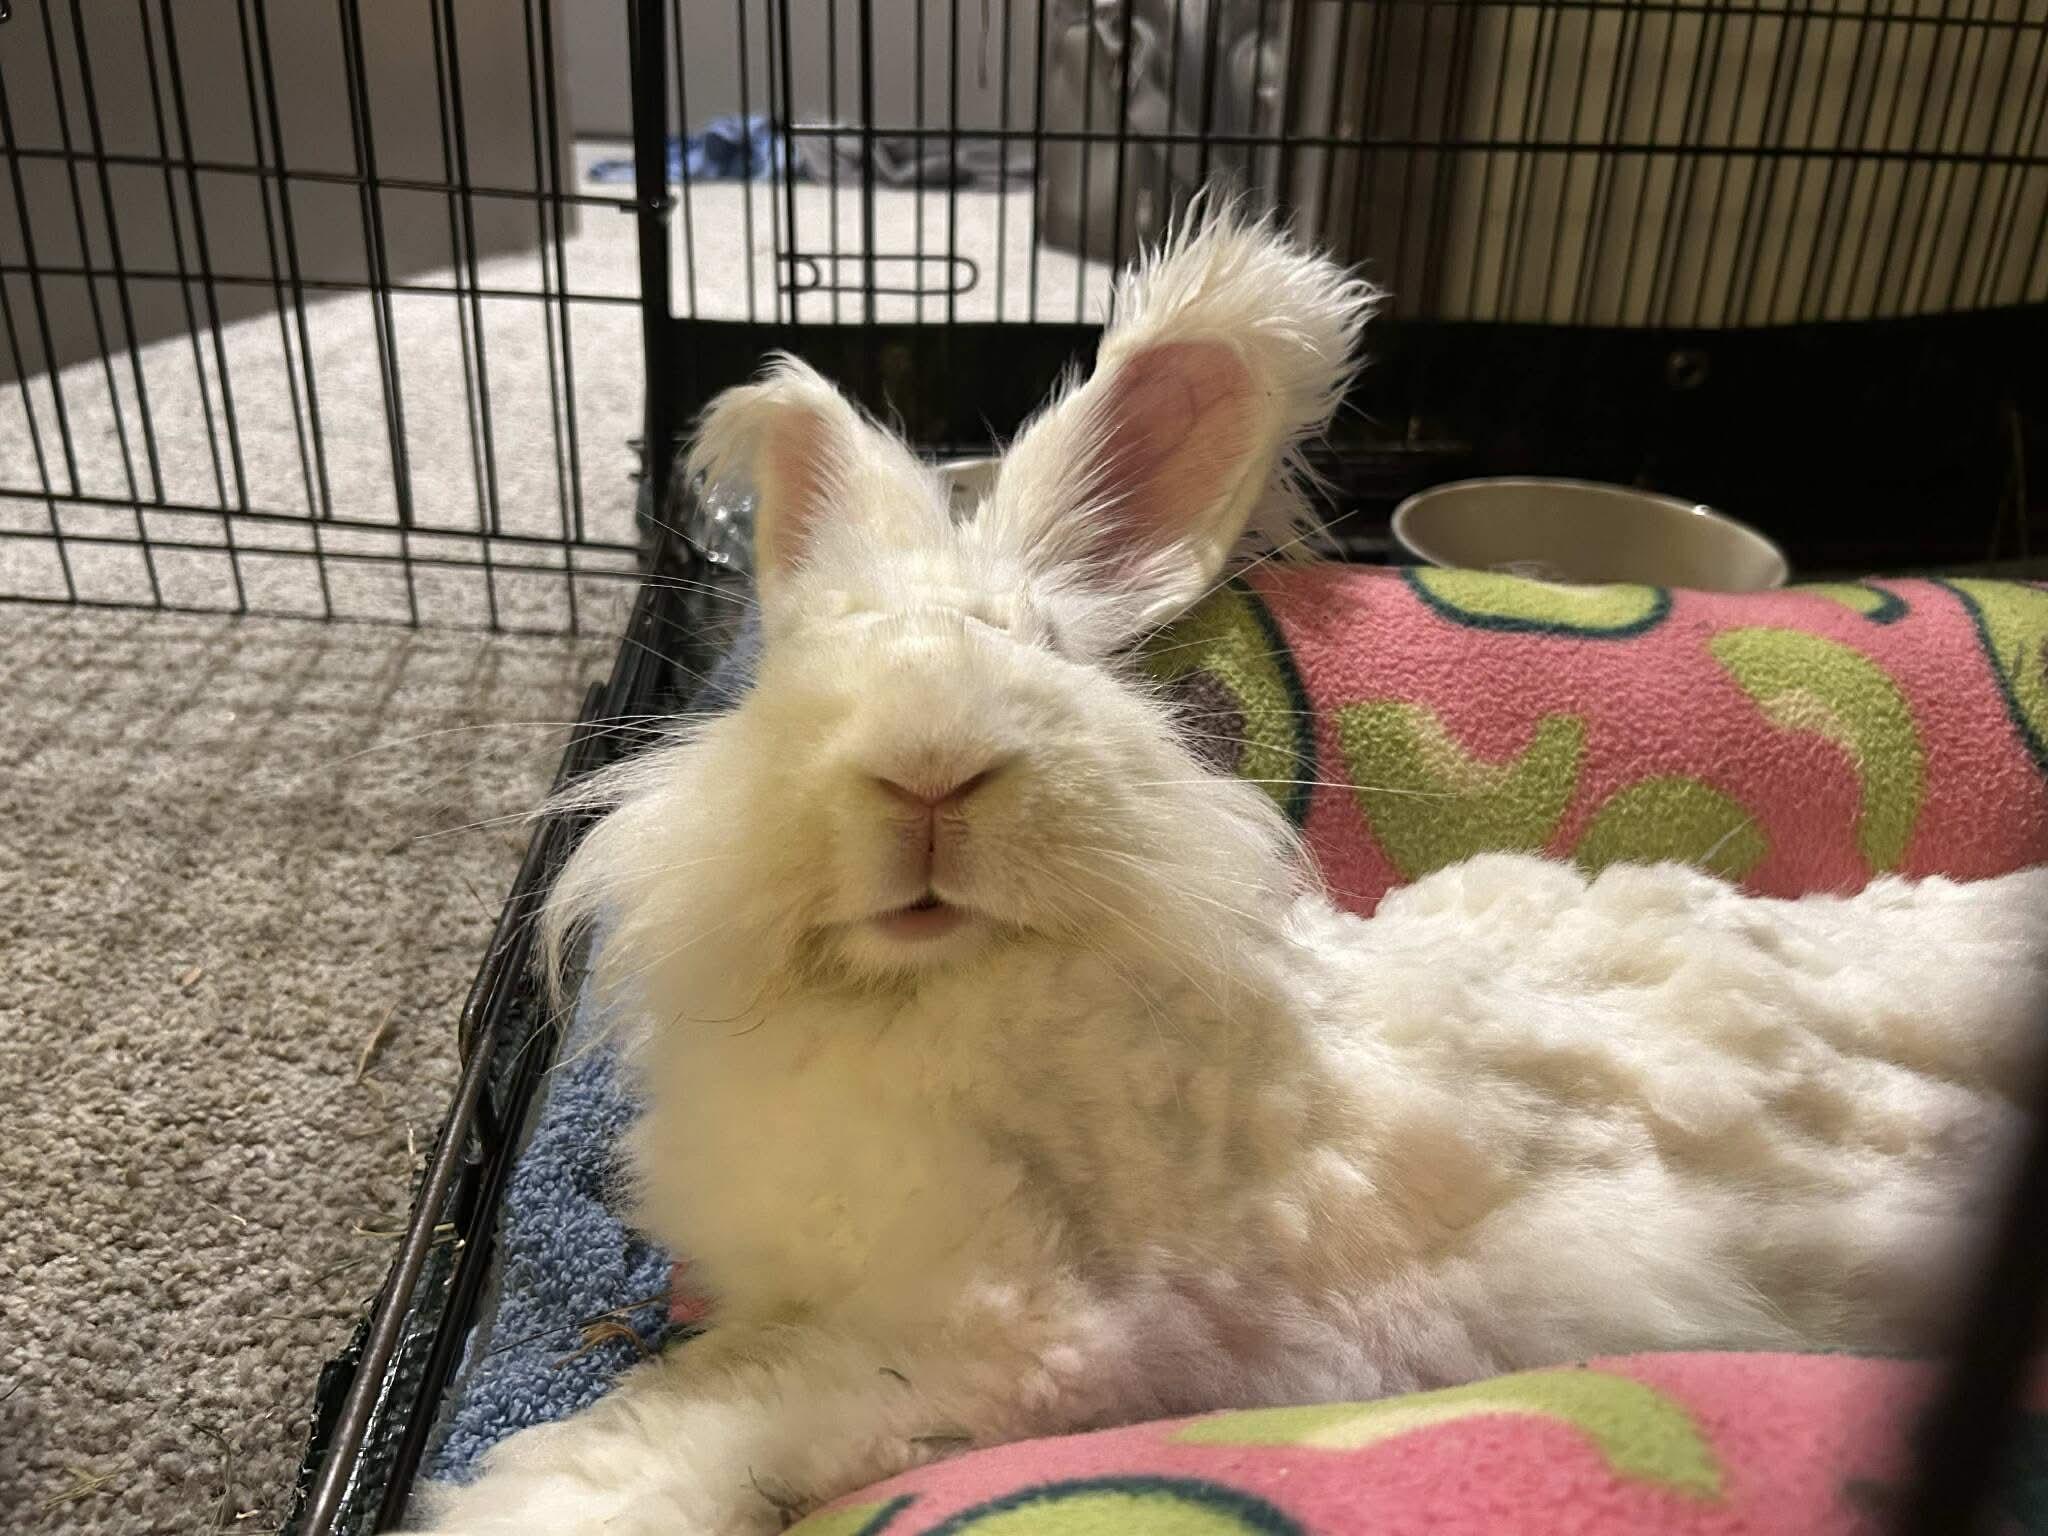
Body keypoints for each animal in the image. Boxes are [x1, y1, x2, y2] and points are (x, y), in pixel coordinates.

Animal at [411, 211, 2048, 1536]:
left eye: (1045, 652)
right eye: (794, 670)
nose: (929, 764)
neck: (929, 999)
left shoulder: (998, 1337)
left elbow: (703, 1411)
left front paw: (524, 1499)